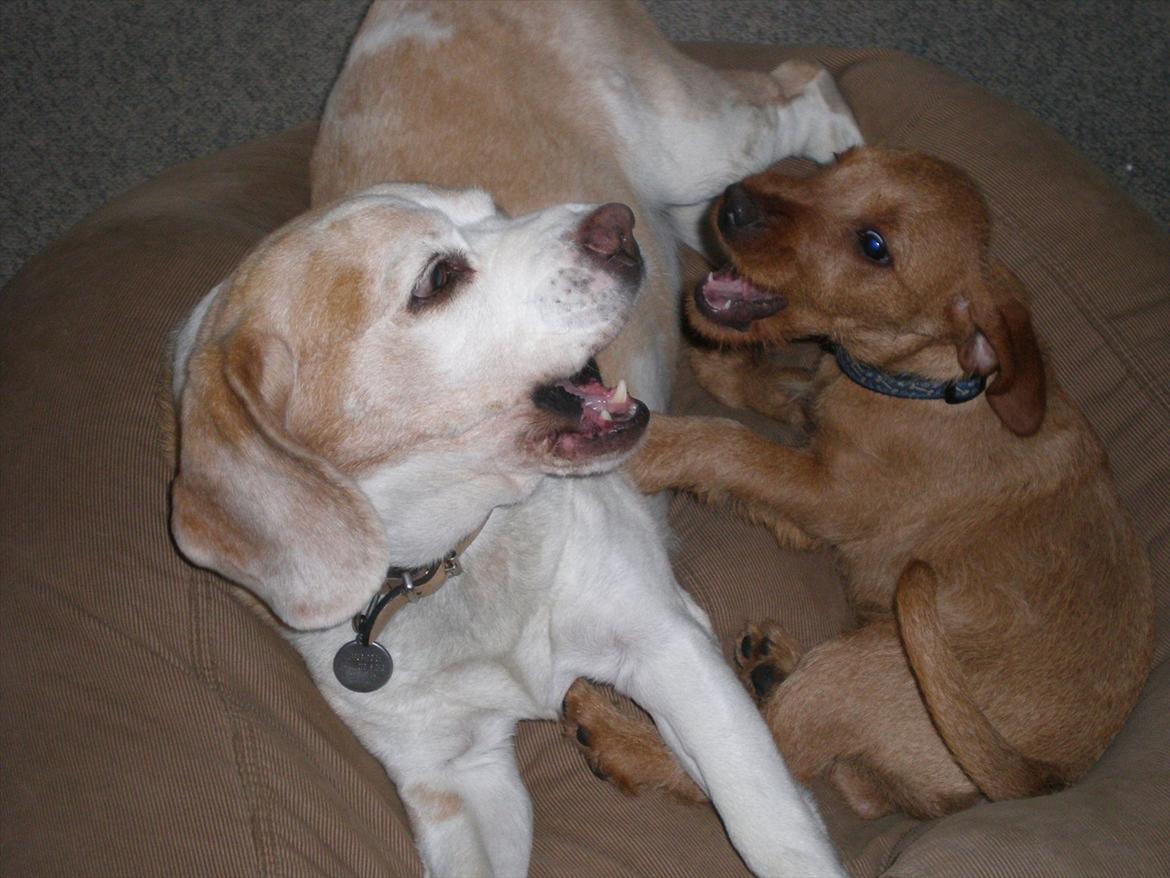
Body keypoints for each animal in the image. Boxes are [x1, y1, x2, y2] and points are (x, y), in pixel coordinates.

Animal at [167, 3, 861, 875]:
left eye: (494, 207)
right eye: (436, 279)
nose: (613, 225)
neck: (451, 559)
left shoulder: (666, 642)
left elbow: (770, 828)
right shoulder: (454, 778)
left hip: (700, 144)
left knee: (801, 89)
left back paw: (851, 164)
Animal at [563, 146, 1151, 824]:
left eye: (874, 247)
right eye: (838, 162)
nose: (733, 203)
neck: (934, 385)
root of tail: (1042, 777)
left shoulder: (829, 493)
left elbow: (732, 443)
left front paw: (651, 443)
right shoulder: (816, 428)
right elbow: (781, 394)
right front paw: (724, 368)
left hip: (863, 667)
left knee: (750, 770)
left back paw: (613, 732)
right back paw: (771, 668)